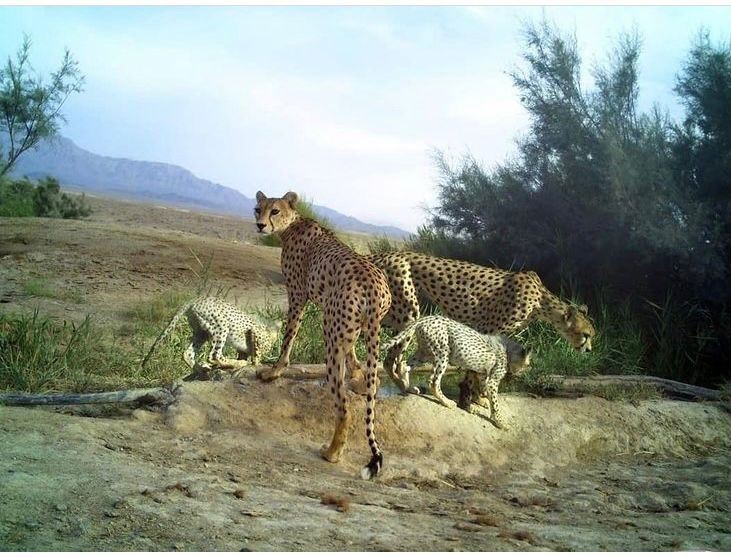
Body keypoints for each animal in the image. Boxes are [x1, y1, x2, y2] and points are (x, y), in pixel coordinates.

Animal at [141, 296, 282, 371]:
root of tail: (196, 299)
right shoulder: (254, 332)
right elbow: (256, 355)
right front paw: (256, 364)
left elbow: (246, 354)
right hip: (221, 327)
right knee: (214, 355)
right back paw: (235, 364)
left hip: (201, 332)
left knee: (187, 353)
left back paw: (201, 369)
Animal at [254, 191, 392, 480]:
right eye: (257, 209)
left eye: (275, 211)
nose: (260, 225)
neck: (291, 225)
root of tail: (375, 286)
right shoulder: (350, 329)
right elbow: (355, 357)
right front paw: (357, 374)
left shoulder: (298, 295)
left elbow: (289, 336)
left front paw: (274, 371)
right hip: (363, 328)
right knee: (372, 382)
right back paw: (364, 385)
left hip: (330, 333)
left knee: (344, 408)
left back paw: (332, 452)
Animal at [367, 251, 595, 395]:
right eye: (586, 335)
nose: (590, 350)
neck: (541, 301)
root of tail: (385, 254)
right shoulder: (486, 329)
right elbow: (476, 368)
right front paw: (476, 398)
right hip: (408, 313)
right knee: (389, 360)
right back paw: (405, 388)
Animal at [380, 315, 531, 428]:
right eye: (527, 365)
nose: (521, 372)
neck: (508, 350)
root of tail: (426, 318)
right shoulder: (493, 380)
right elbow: (495, 401)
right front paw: (499, 421)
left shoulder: (482, 372)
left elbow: (481, 386)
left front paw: (481, 400)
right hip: (442, 353)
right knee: (433, 380)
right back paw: (446, 402)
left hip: (425, 353)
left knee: (404, 365)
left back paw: (409, 388)